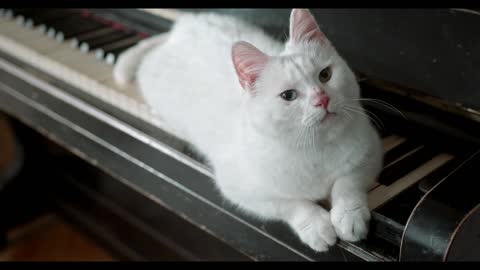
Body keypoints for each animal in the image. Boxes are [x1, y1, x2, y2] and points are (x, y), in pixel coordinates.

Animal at [113, 8, 382, 253]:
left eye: (325, 75)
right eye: (288, 96)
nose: (322, 99)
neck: (314, 146)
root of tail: (182, 26)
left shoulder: (370, 152)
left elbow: (348, 182)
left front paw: (349, 216)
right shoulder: (242, 190)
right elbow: (290, 203)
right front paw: (316, 226)